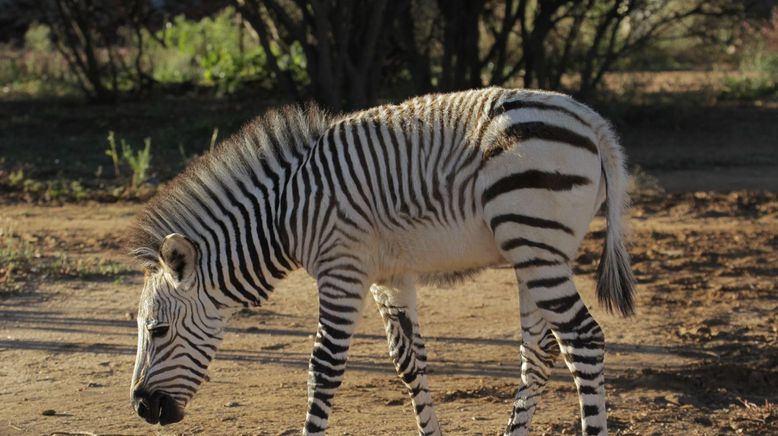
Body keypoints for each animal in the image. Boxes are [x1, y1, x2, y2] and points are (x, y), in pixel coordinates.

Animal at [127, 87, 632, 434]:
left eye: (158, 330)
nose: (140, 407)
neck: (284, 214)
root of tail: (589, 119)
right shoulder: (388, 275)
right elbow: (410, 361)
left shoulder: (340, 270)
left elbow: (325, 366)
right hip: (533, 252)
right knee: (540, 350)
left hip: (534, 243)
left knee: (583, 338)